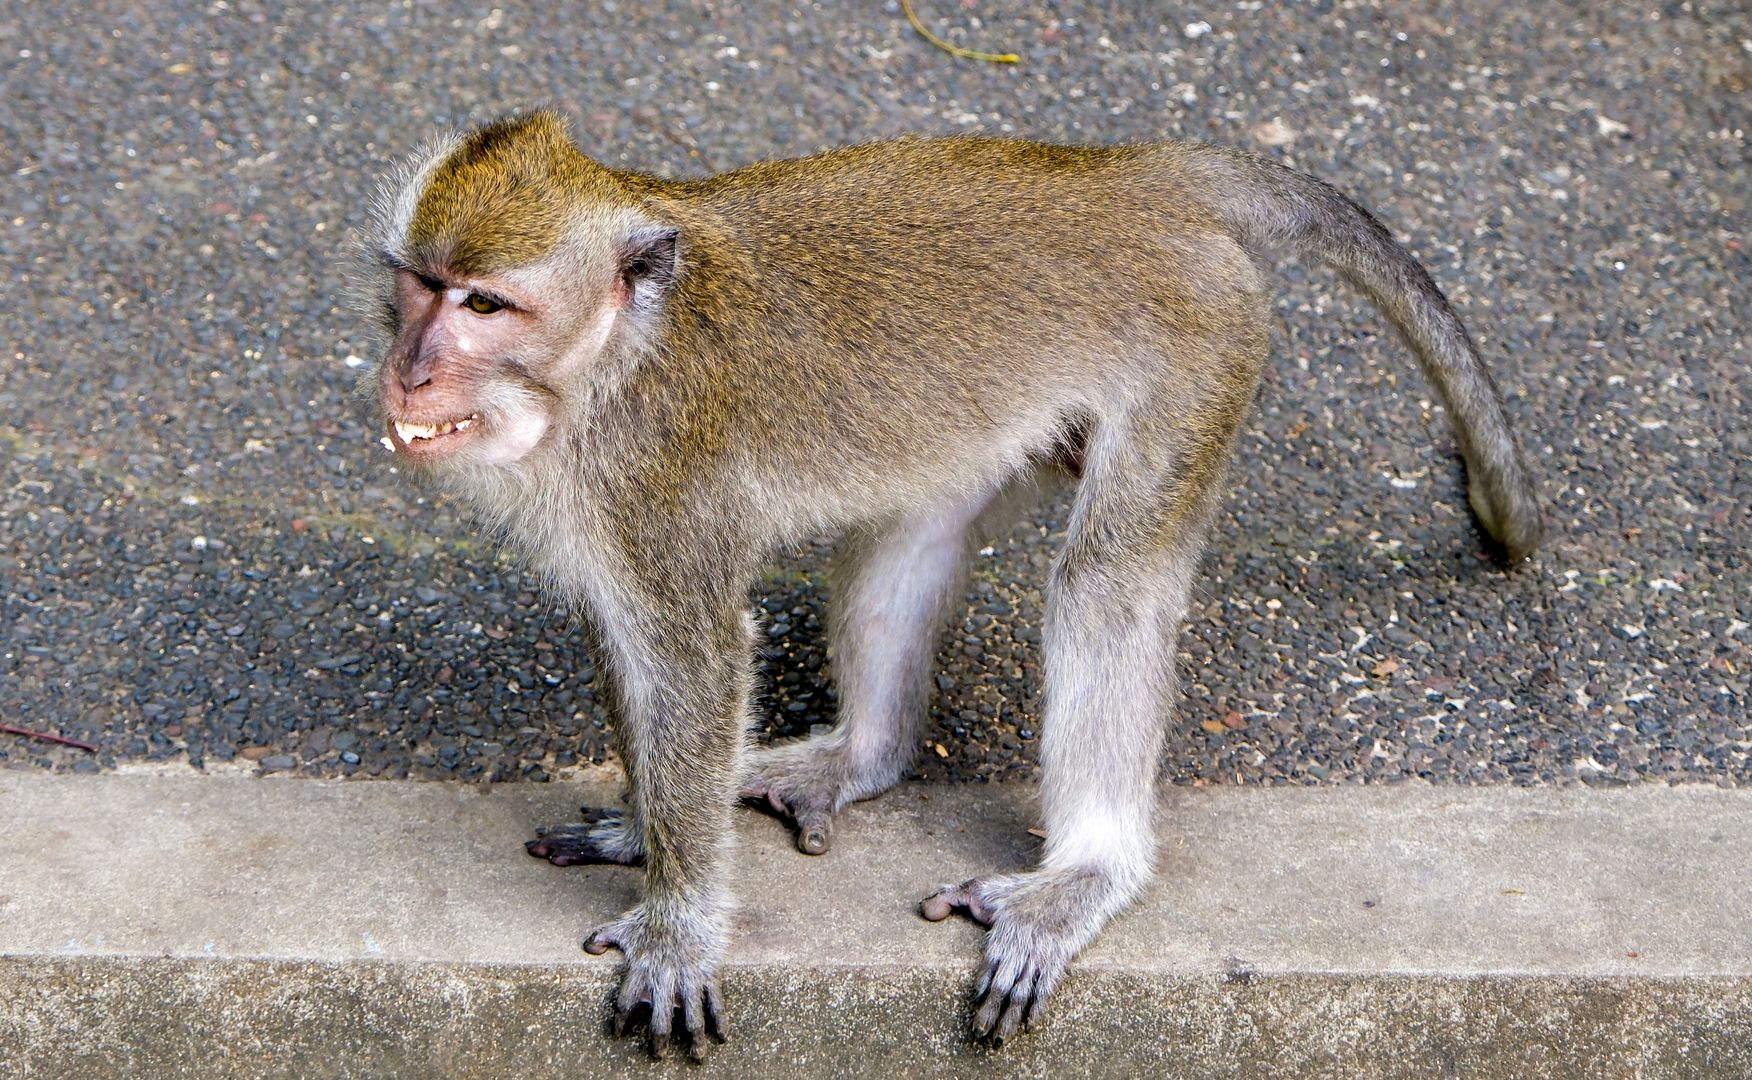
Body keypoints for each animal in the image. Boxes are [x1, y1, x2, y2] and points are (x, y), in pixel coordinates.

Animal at [362, 113, 1541, 1058]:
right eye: (418, 286)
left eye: (486, 304)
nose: (409, 369)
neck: (615, 356)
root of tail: (1128, 175)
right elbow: (635, 648)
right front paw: (649, 835)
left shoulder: (655, 477)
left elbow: (693, 658)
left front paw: (679, 923)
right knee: (914, 534)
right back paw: (863, 755)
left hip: (1201, 348)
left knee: (1107, 582)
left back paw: (1087, 874)